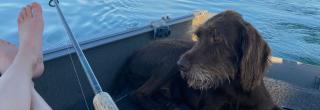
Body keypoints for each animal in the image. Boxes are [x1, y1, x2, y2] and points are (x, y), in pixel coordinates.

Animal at [117, 10, 280, 110]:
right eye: (198, 36)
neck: (236, 87)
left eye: (217, 37)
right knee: (137, 93)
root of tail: (130, 58)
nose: (181, 65)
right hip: (172, 57)